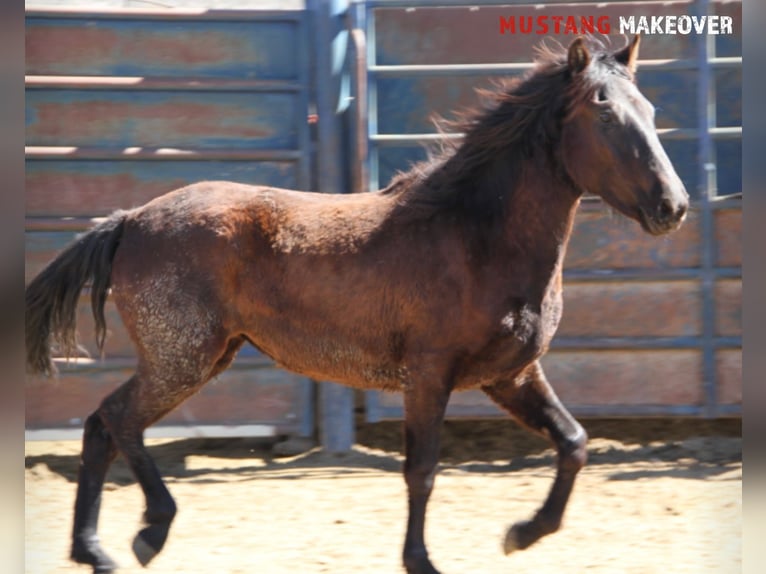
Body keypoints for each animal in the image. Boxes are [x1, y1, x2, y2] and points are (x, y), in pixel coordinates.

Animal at [25, 37, 688, 574]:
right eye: (605, 113)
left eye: (651, 111)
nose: (673, 206)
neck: (476, 236)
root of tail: (131, 219)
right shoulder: (430, 375)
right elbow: (422, 470)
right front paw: (422, 560)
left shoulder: (512, 375)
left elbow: (574, 441)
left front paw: (522, 534)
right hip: (181, 359)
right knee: (118, 421)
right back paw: (148, 533)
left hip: (199, 358)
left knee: (101, 425)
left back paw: (94, 550)